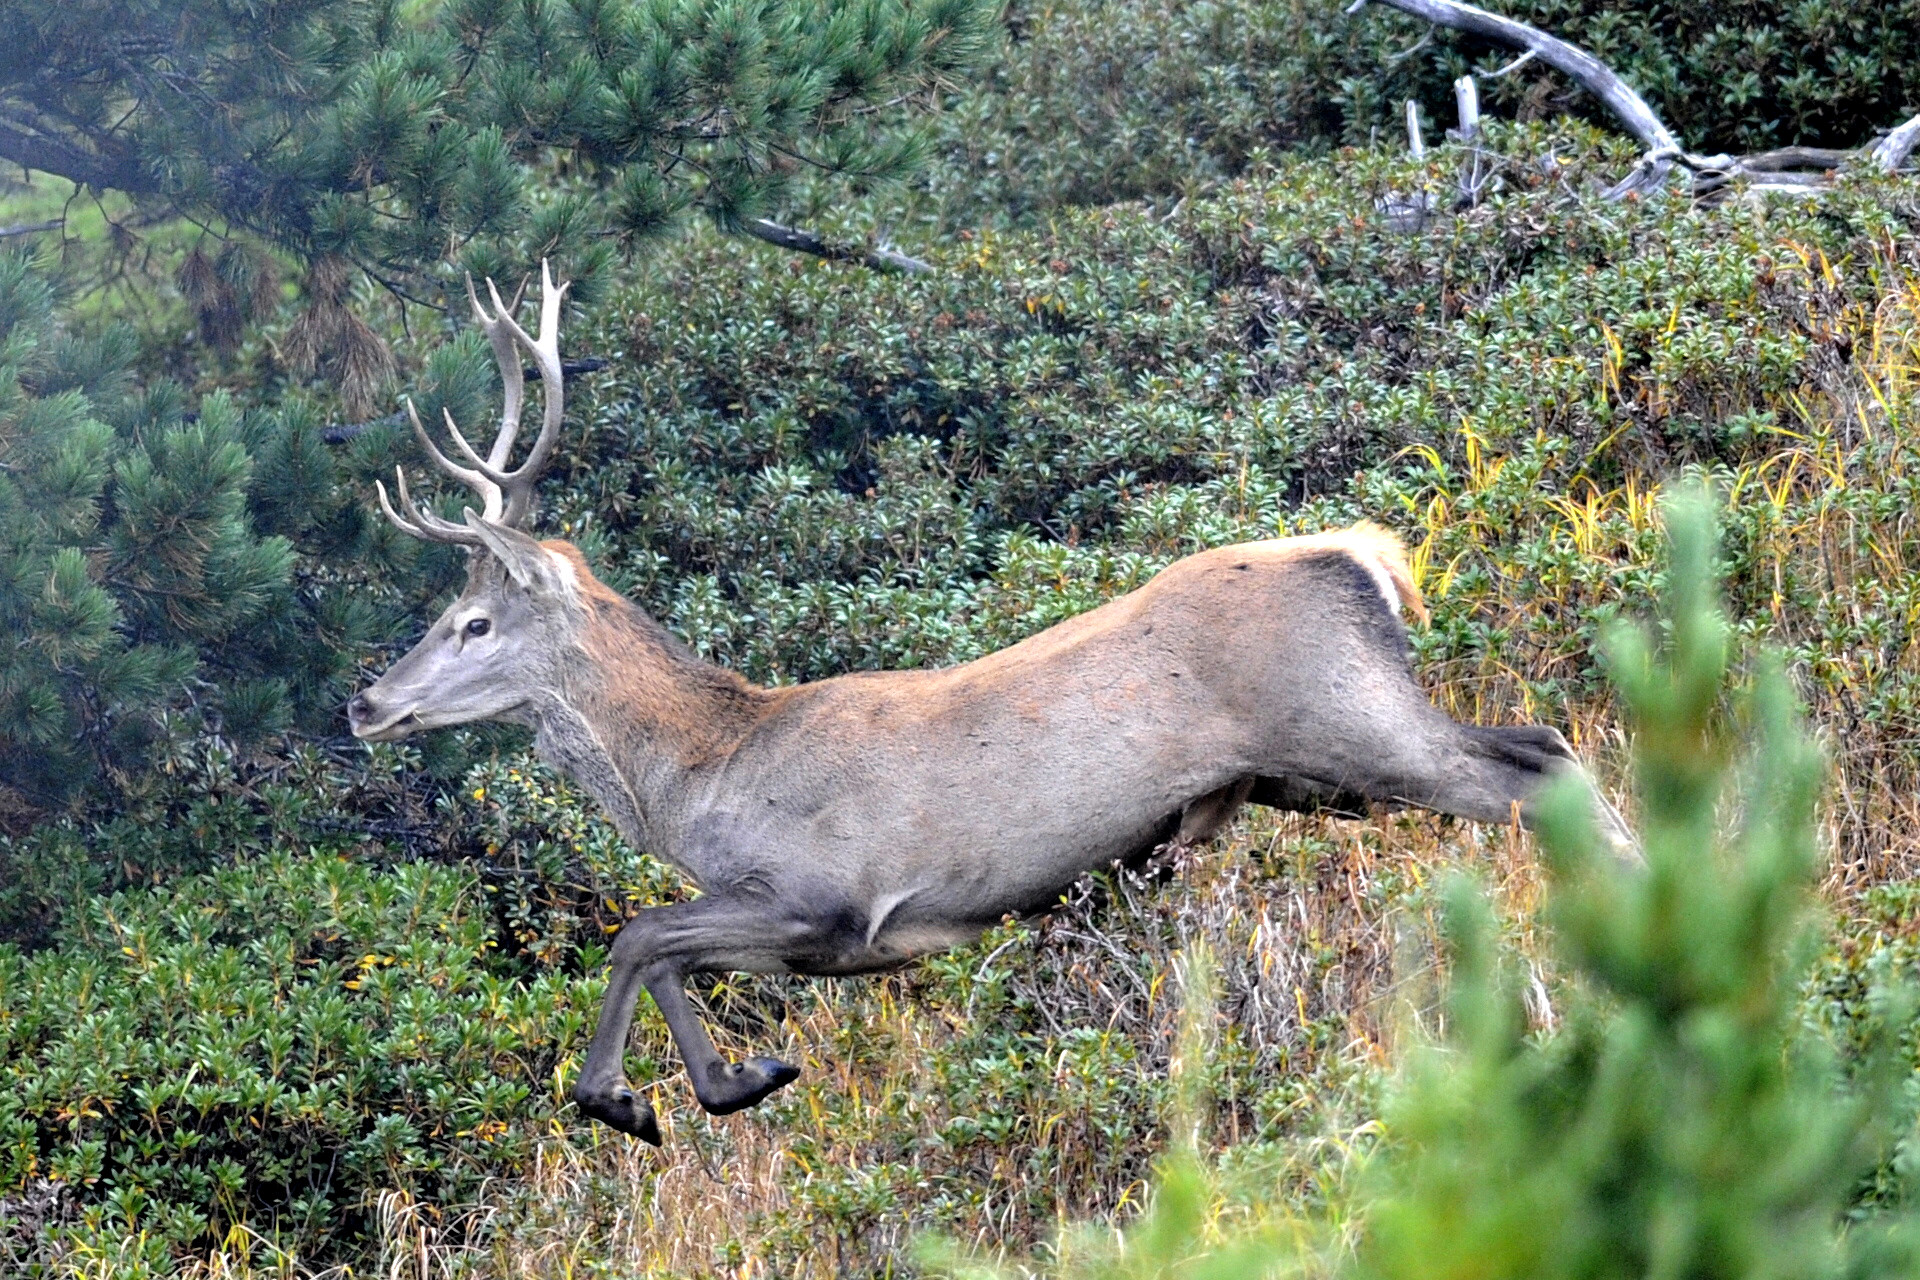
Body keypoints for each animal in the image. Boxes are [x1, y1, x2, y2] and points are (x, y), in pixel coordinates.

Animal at [347, 264, 1632, 1145]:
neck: (705, 774)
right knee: (1543, 741)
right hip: (1315, 773)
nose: (366, 702)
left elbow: (639, 932)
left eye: (472, 621)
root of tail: (1369, 553)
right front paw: (731, 1081)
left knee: (1538, 761)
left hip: (1351, 720)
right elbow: (661, 944)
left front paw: (633, 1094)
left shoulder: (829, 894)